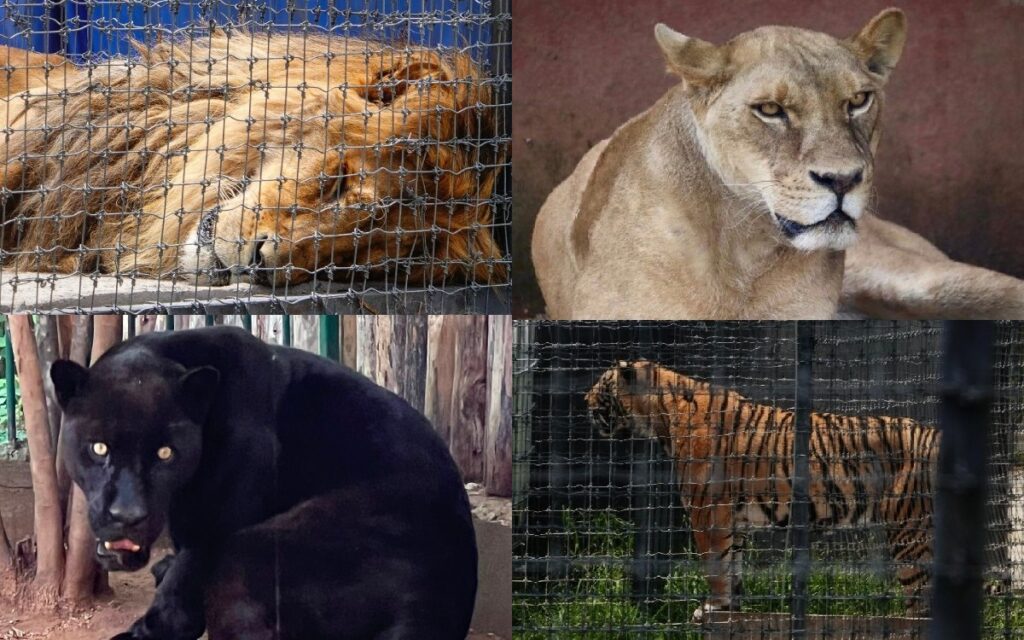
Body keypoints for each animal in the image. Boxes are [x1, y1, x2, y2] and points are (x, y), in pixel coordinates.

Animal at [584, 359, 939, 622]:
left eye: (602, 383)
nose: (583, 400)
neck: (660, 415)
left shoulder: (706, 511)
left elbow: (714, 564)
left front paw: (712, 607)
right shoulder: (734, 520)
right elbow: (732, 564)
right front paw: (731, 608)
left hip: (909, 531)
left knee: (922, 601)